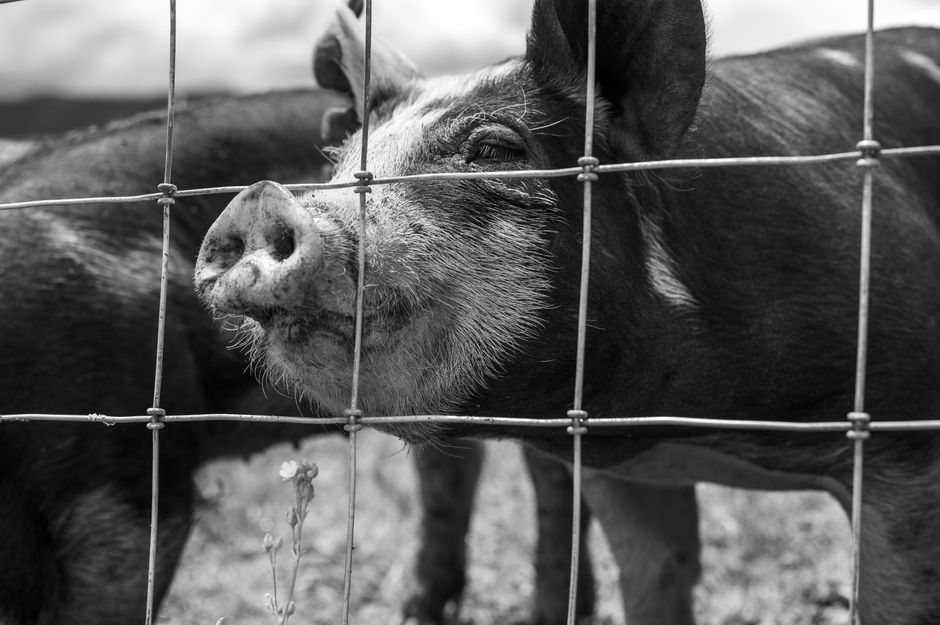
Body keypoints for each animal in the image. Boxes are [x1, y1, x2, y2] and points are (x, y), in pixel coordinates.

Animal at [194, 0, 940, 623]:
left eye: (495, 149)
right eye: (341, 163)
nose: (257, 200)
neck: (690, 428)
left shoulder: (903, 442)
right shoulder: (625, 474)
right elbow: (656, 579)